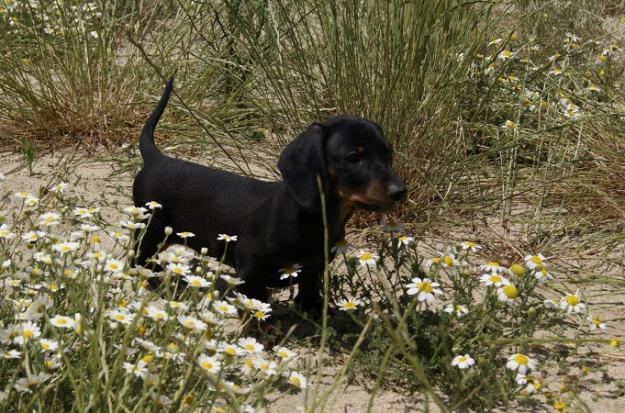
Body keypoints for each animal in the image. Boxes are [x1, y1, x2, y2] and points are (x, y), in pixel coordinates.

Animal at [132, 79, 408, 312]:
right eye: (353, 157)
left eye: (388, 154)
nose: (400, 192)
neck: (311, 217)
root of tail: (156, 158)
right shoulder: (250, 265)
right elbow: (257, 302)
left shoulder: (314, 269)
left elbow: (309, 294)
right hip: (150, 228)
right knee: (138, 260)